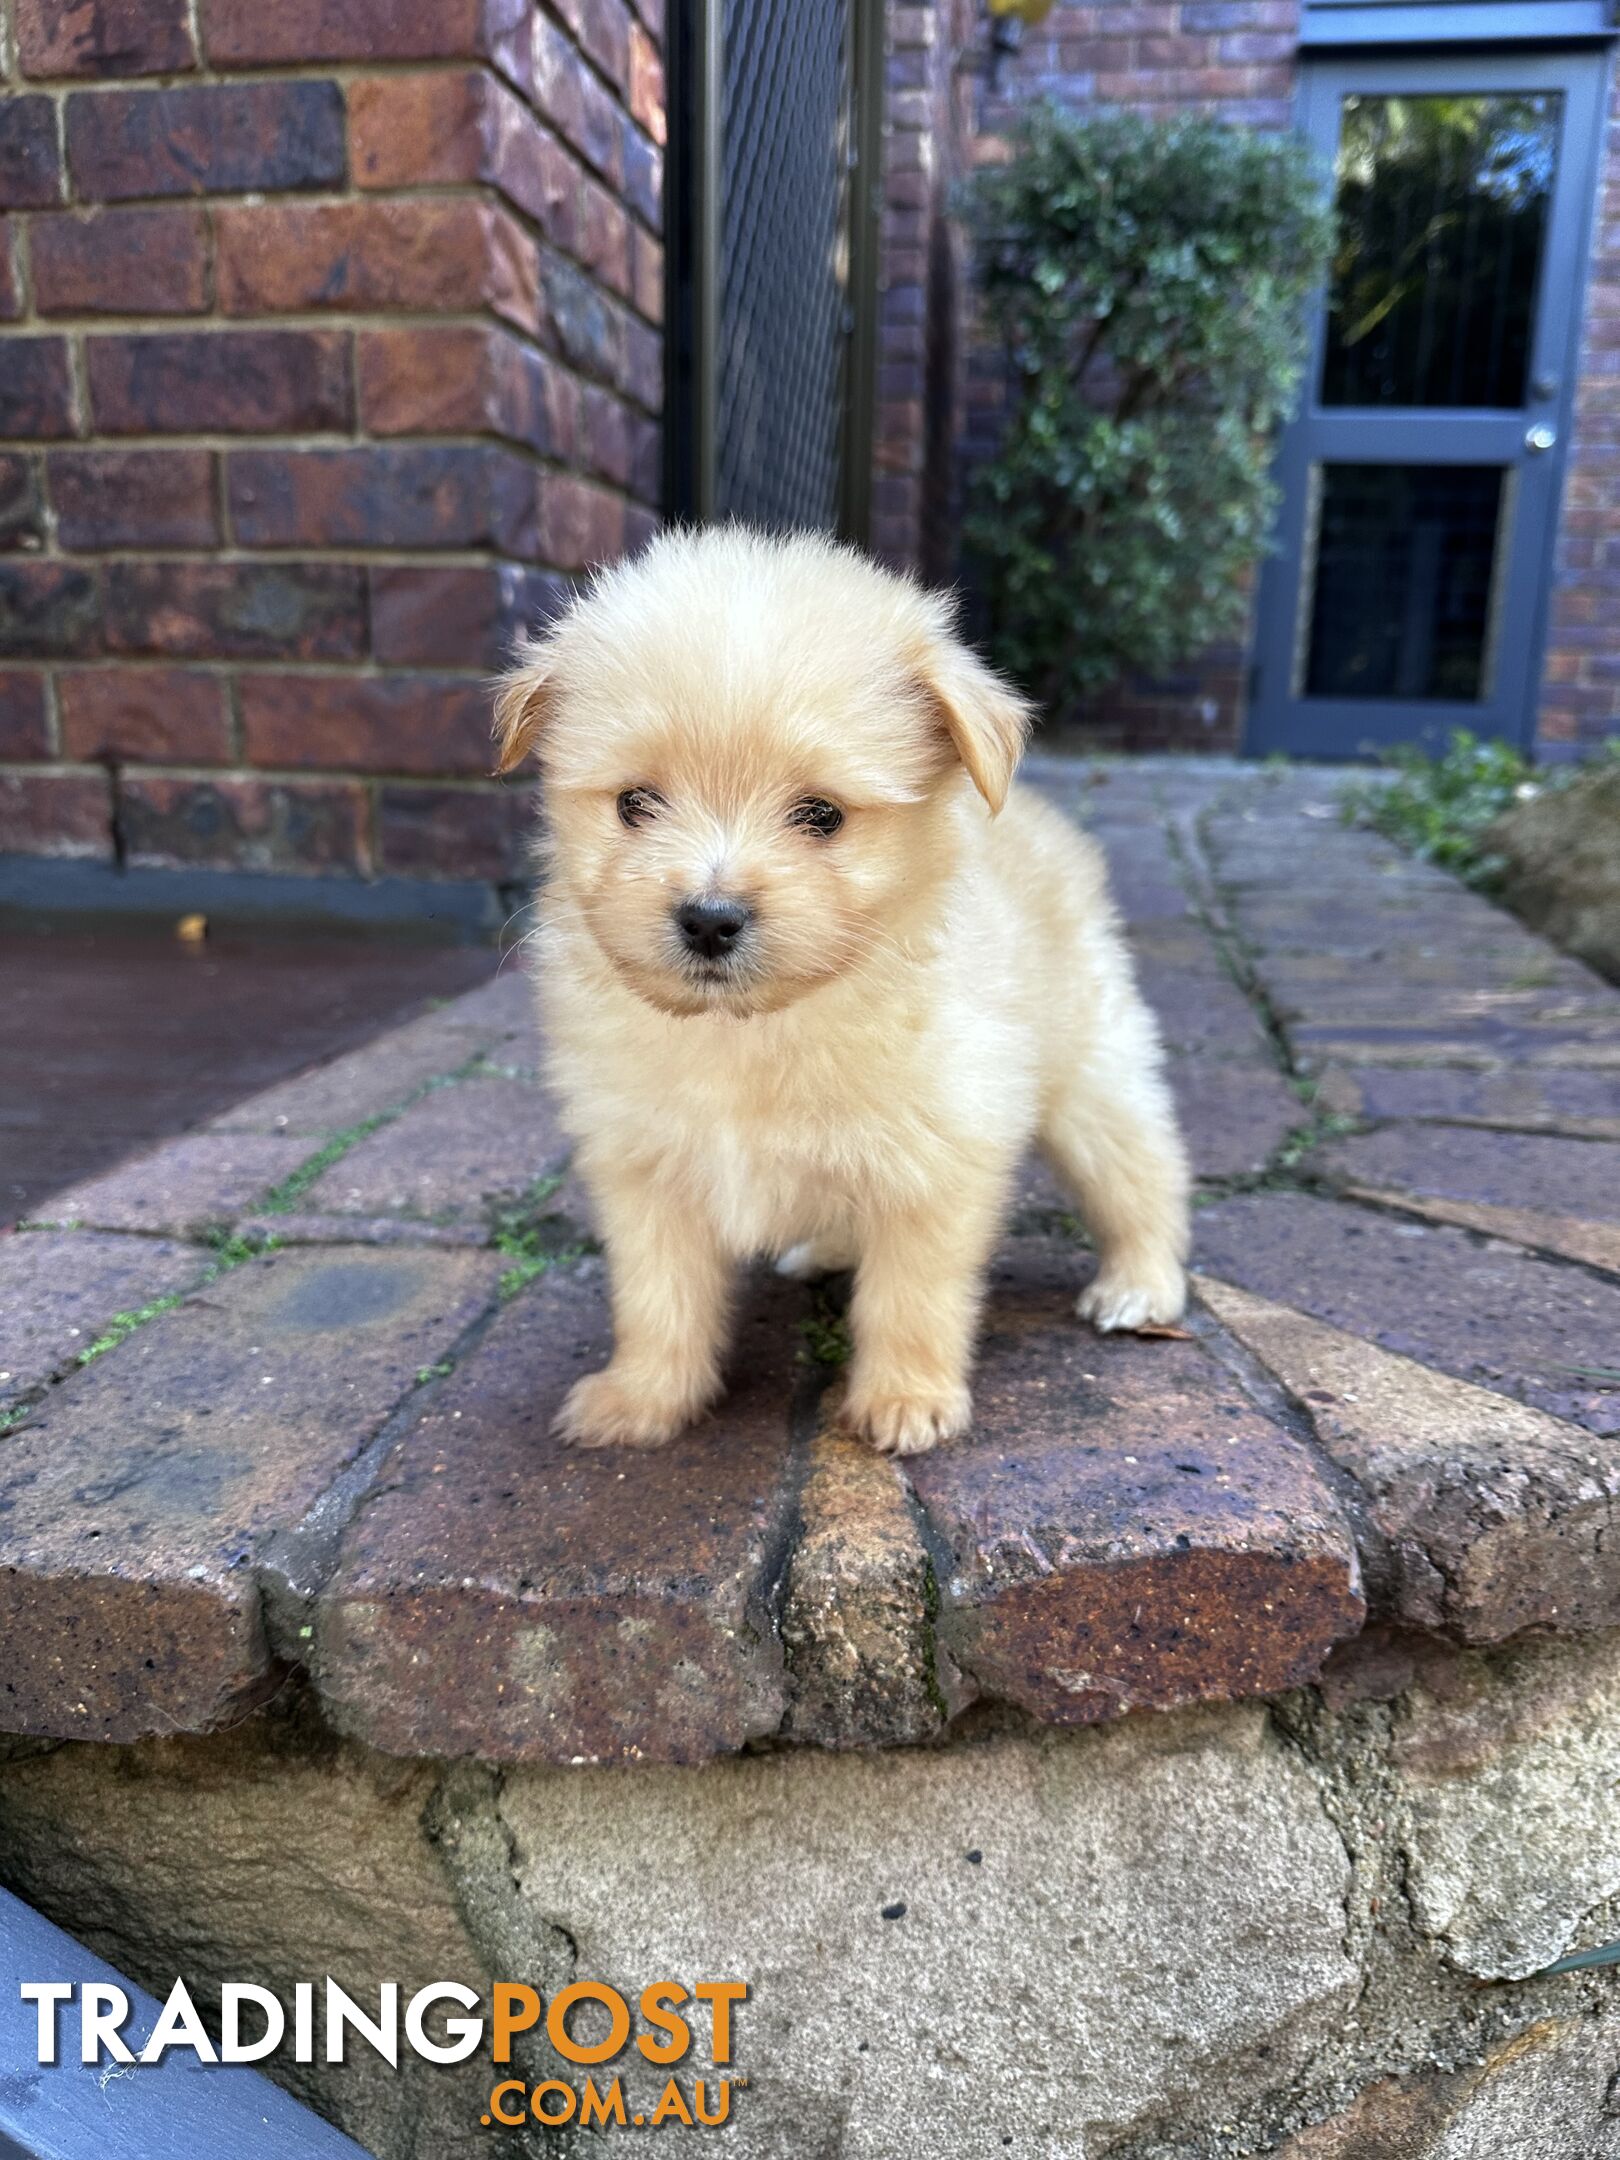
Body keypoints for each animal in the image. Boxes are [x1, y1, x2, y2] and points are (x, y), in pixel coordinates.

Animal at [494, 529, 1192, 1460]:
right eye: (635, 803)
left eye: (822, 815)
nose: (709, 919)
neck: (752, 1027)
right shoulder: (645, 1171)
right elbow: (657, 1299)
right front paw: (643, 1398)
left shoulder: (936, 1162)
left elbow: (910, 1298)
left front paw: (905, 1399)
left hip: (1092, 1081)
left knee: (1144, 1174)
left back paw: (1142, 1285)